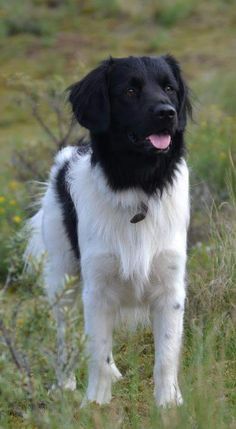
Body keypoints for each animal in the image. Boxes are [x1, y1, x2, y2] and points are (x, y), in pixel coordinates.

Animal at [25, 55, 192, 406]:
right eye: (130, 90)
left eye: (169, 88)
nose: (167, 113)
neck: (136, 188)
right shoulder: (97, 288)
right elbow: (97, 351)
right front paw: (96, 404)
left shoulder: (170, 289)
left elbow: (166, 355)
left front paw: (168, 404)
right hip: (63, 276)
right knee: (64, 333)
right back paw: (65, 385)